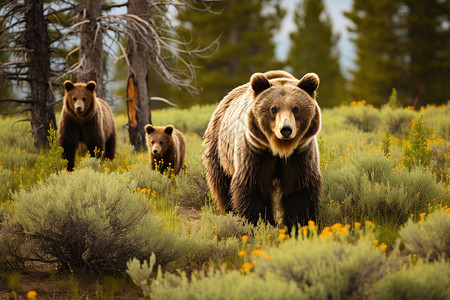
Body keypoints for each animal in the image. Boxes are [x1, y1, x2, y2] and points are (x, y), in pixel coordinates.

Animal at [202, 69, 322, 232]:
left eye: (296, 108)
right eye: (274, 109)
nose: (285, 129)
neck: (280, 149)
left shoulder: (301, 154)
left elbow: (299, 189)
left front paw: (299, 225)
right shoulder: (255, 153)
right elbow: (253, 187)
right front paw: (259, 223)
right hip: (220, 151)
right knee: (223, 186)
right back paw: (229, 213)